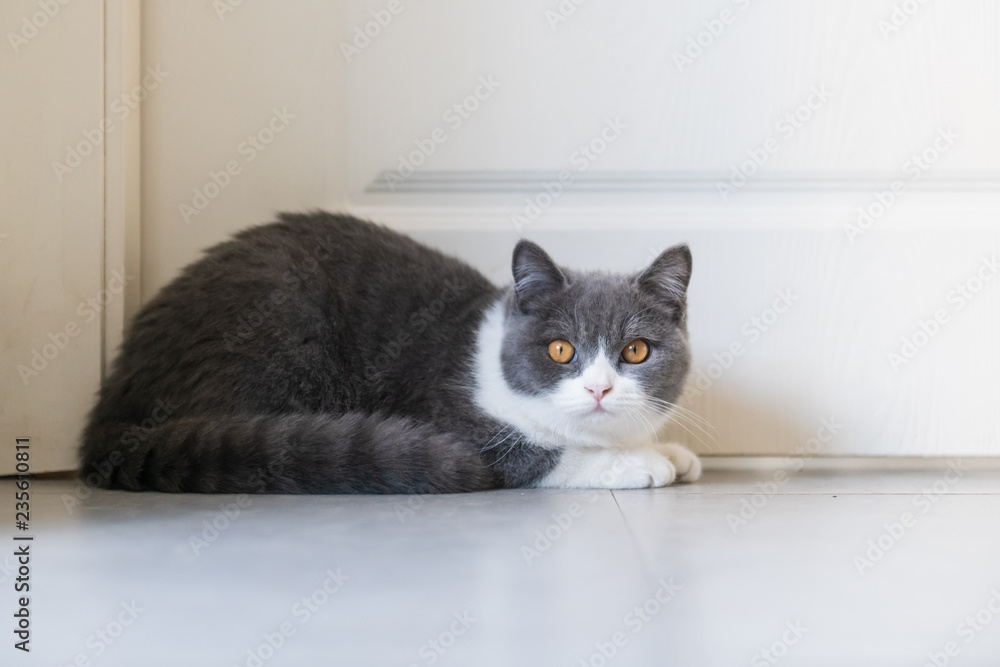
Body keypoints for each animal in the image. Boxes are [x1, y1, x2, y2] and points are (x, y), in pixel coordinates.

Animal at [80, 211, 704, 494]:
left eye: (636, 351)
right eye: (560, 349)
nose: (599, 387)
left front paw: (669, 450)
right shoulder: (450, 414)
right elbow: (538, 454)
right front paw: (640, 463)